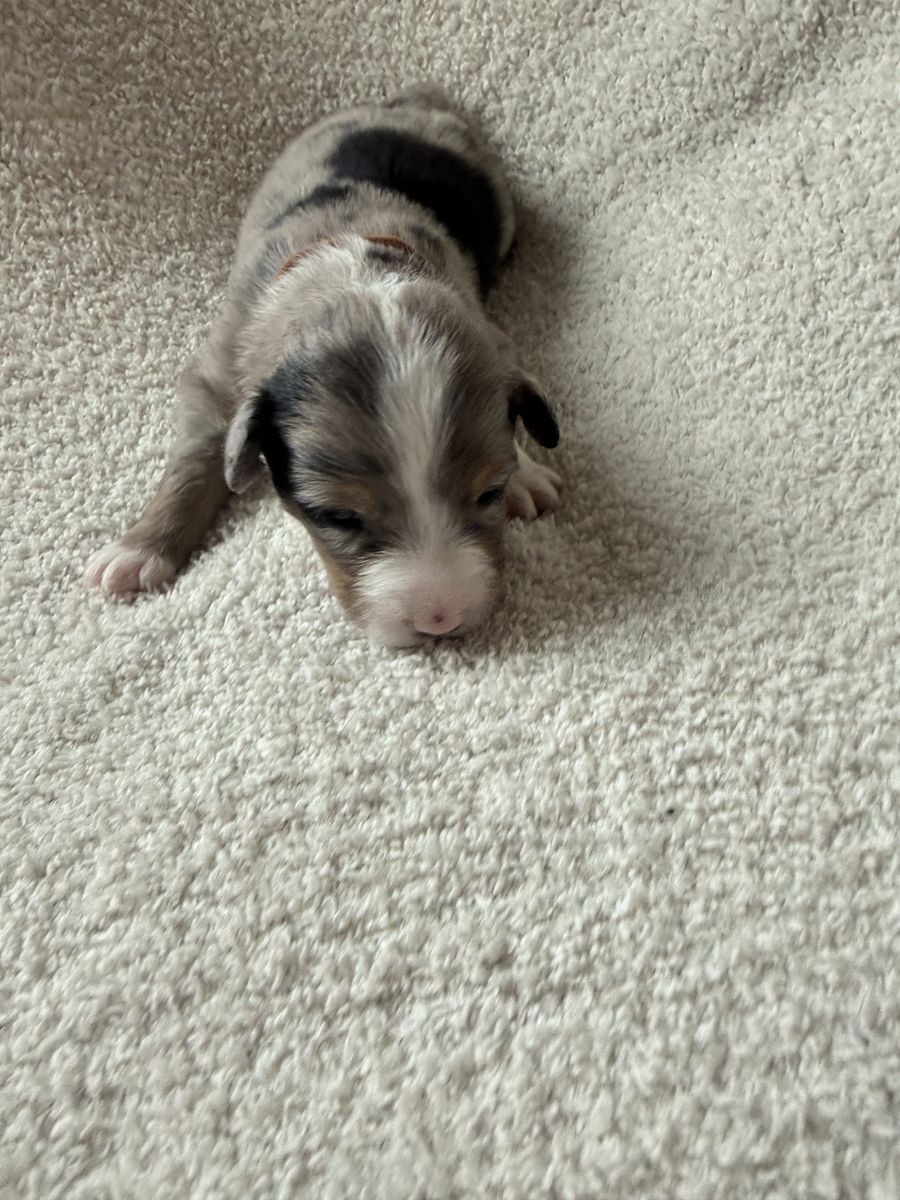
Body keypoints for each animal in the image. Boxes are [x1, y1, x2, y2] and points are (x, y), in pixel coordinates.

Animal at [85, 84, 562, 647]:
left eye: (489, 492)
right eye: (337, 515)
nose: (439, 622)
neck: (353, 269)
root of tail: (407, 103)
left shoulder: (488, 330)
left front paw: (527, 475)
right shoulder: (220, 366)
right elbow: (196, 455)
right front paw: (140, 550)